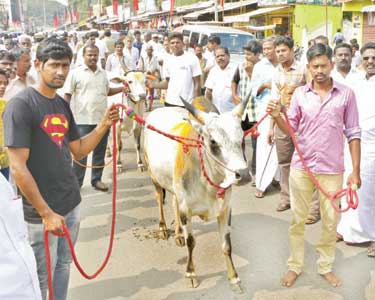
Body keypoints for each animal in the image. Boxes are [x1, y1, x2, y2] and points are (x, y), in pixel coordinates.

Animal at [144, 99, 253, 292]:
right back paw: (163, 228)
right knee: (159, 200)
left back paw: (178, 234)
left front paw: (234, 278)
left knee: (173, 201)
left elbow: (226, 245)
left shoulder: (225, 209)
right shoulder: (186, 211)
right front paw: (191, 274)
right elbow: (192, 242)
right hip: (154, 177)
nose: (244, 175)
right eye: (213, 141)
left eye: (241, 139)